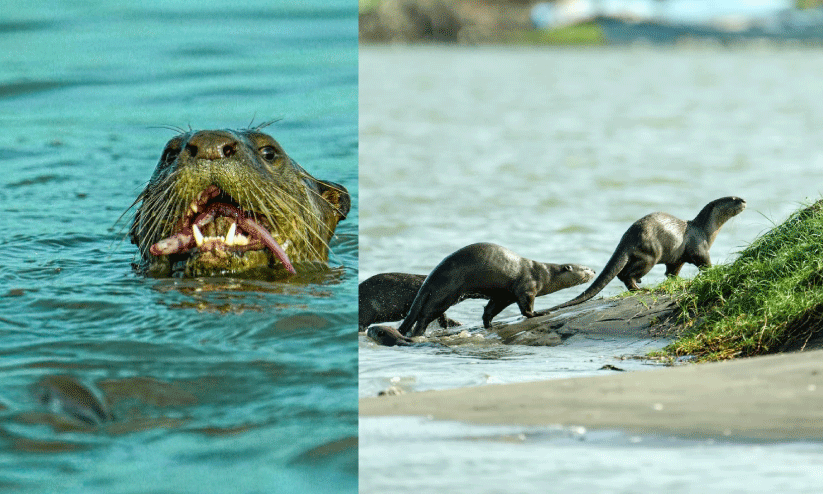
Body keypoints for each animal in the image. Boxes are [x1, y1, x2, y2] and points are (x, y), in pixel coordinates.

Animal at [397, 243, 596, 337]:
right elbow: (526, 308)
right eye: (584, 268)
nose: (594, 270)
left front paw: (490, 325)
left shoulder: (504, 296)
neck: (543, 274)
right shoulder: (527, 287)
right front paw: (539, 313)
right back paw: (418, 334)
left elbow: (490, 310)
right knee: (425, 315)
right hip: (445, 292)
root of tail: (430, 279)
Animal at [547, 196, 746, 312]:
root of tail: (628, 237)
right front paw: (715, 270)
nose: (744, 200)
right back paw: (640, 288)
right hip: (650, 254)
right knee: (625, 274)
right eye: (733, 198)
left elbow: (671, 272)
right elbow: (705, 264)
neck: (705, 231)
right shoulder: (700, 248)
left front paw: (677, 281)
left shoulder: (677, 259)